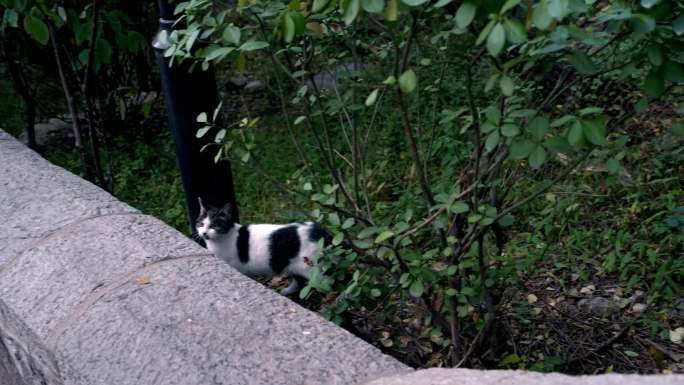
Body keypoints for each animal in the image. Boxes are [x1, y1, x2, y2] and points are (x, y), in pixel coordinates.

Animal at [195, 198, 332, 294]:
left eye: (214, 226)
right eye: (201, 224)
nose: (204, 233)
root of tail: (319, 230)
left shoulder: (238, 269)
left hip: (312, 268)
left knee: (328, 282)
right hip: (294, 264)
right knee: (299, 281)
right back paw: (288, 291)